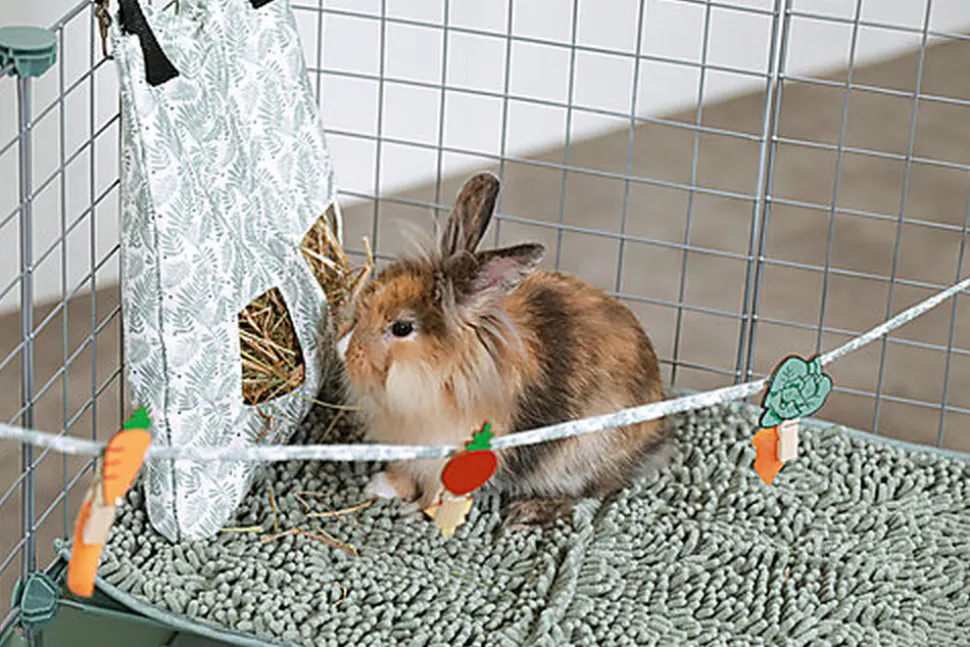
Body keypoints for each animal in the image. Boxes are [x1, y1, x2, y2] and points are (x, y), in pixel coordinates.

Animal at [334, 172, 670, 530]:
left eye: (401, 328)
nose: (342, 348)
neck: (444, 375)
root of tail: (656, 436)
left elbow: (438, 494)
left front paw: (417, 514)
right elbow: (405, 475)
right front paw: (382, 486)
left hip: (581, 454)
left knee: (592, 489)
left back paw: (526, 511)